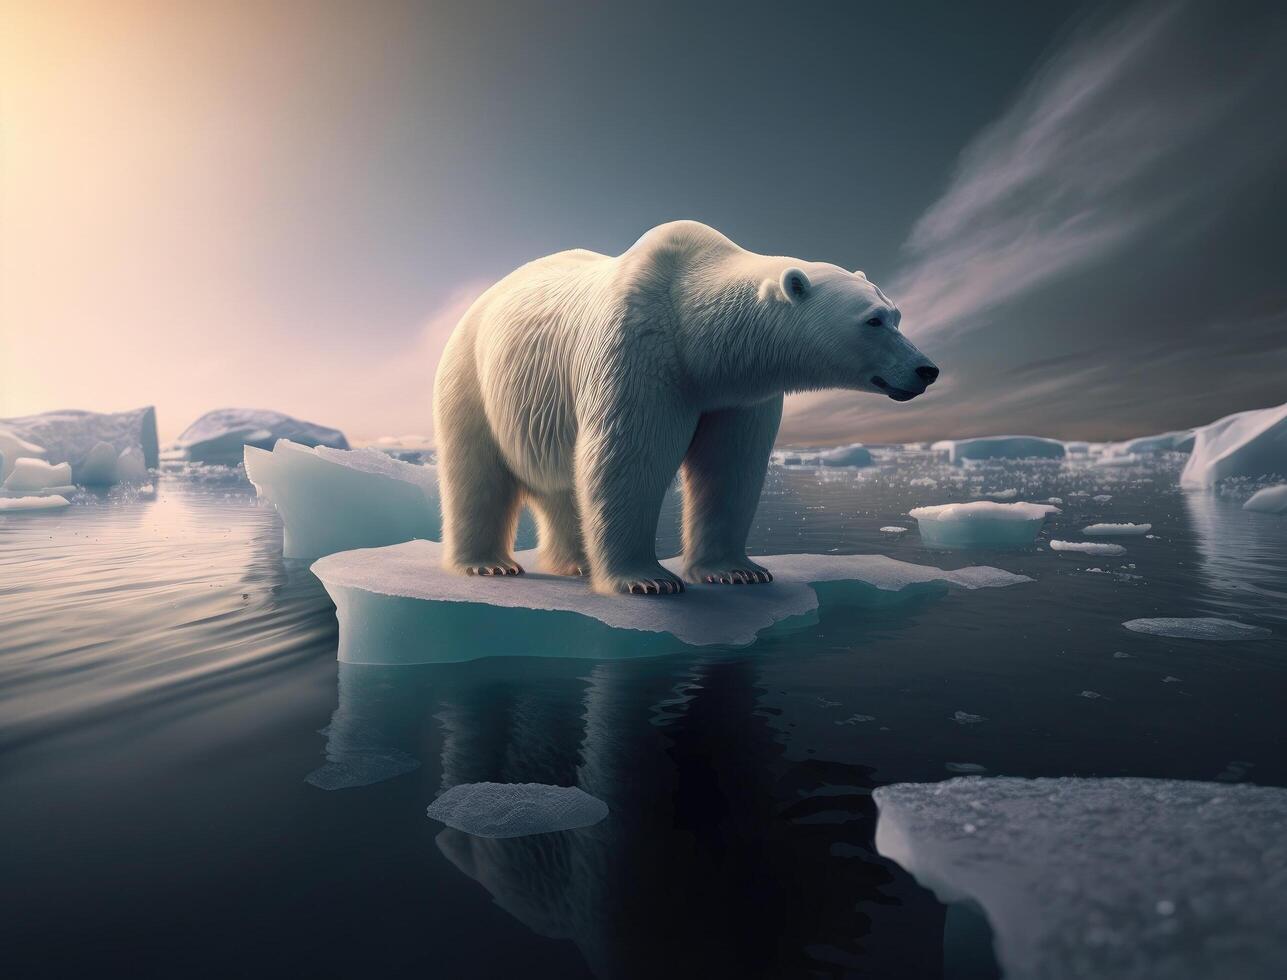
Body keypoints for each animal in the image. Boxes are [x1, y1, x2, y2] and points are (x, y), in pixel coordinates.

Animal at [432, 221, 936, 592]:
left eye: (896, 314)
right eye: (872, 321)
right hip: (472, 378)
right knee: (475, 474)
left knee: (560, 487)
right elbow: (628, 458)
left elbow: (730, 469)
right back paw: (488, 564)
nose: (926, 369)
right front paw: (646, 580)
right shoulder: (638, 349)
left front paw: (738, 571)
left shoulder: (738, 394)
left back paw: (575, 562)